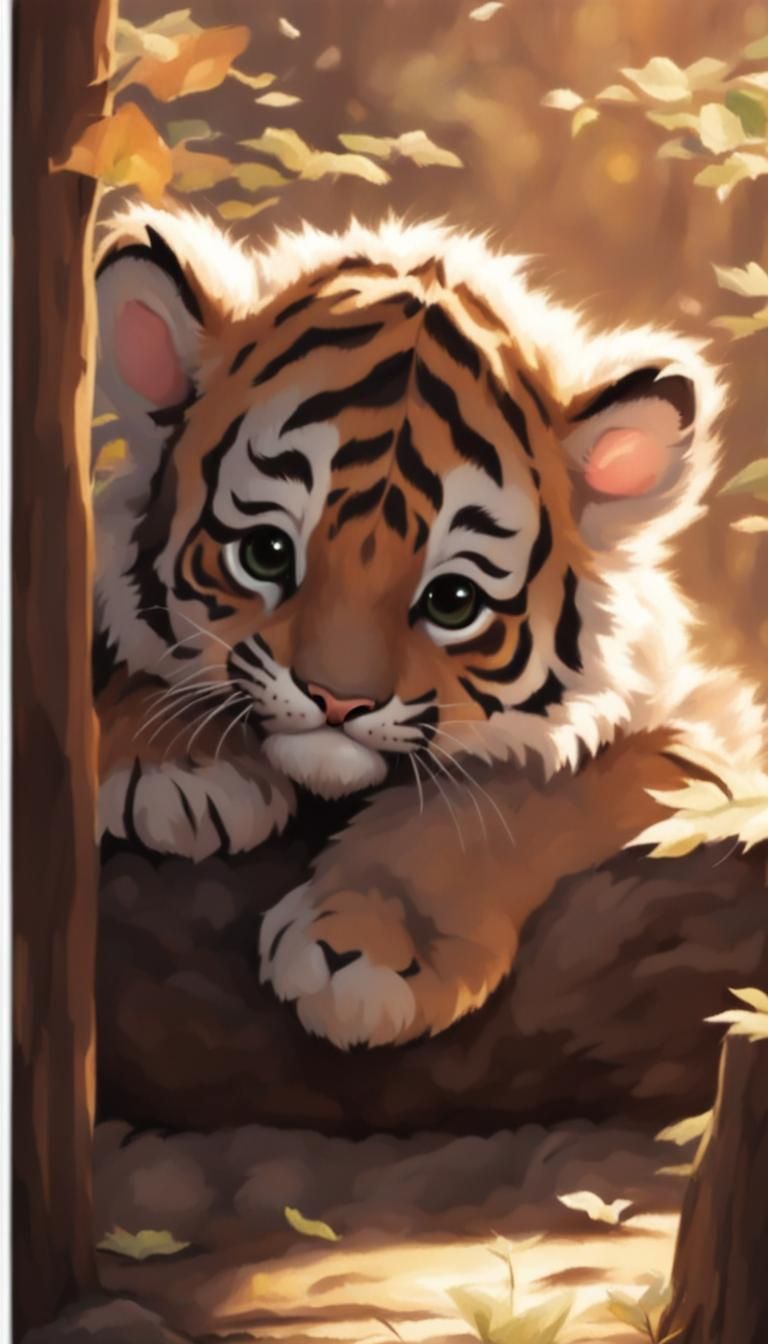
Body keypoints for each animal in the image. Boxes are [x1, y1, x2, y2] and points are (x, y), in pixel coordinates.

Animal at [93, 203, 765, 1050]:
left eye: (452, 601)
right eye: (265, 552)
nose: (338, 701)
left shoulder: (709, 750)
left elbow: (516, 799)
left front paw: (365, 950)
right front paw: (178, 768)